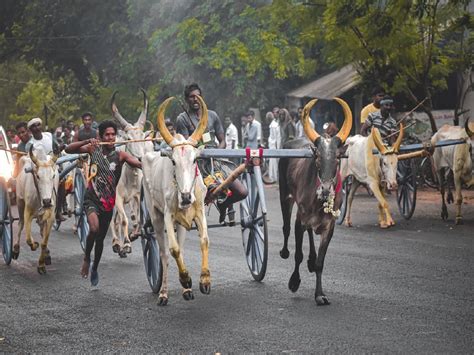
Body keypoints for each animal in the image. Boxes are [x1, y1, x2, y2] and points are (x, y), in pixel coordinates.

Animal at [14, 146, 59, 274]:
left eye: (53, 176)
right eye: (37, 176)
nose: (47, 201)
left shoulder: (50, 217)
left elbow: (44, 242)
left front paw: (41, 264)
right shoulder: (27, 212)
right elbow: (28, 239)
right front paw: (34, 245)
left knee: (41, 230)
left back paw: (47, 255)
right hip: (20, 202)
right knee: (20, 224)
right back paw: (15, 249)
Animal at [110, 89, 153, 256]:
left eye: (142, 138)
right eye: (128, 138)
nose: (140, 158)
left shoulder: (137, 197)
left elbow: (137, 218)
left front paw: (134, 236)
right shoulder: (118, 198)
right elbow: (123, 220)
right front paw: (126, 244)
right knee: (113, 220)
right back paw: (116, 243)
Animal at [142, 96, 210, 308]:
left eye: (195, 160)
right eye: (173, 162)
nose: (186, 197)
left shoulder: (199, 212)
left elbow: (204, 241)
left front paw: (204, 280)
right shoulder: (167, 216)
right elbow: (172, 250)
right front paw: (186, 279)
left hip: (181, 224)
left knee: (180, 247)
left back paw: (187, 291)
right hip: (155, 216)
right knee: (165, 254)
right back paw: (164, 293)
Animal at [278, 136, 344, 306]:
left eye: (337, 158)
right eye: (318, 158)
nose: (325, 190)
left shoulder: (329, 228)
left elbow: (320, 264)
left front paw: (320, 295)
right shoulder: (299, 221)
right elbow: (298, 255)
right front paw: (294, 282)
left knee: (309, 231)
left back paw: (311, 259)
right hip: (285, 196)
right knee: (286, 227)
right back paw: (285, 252)